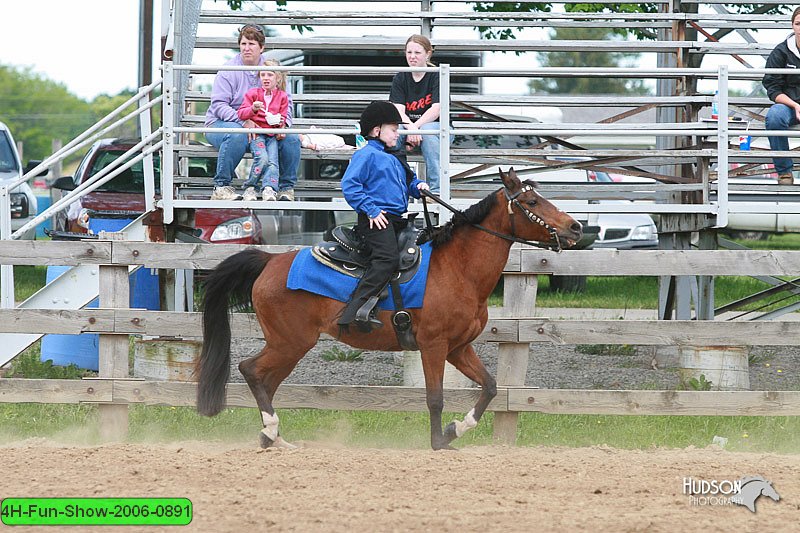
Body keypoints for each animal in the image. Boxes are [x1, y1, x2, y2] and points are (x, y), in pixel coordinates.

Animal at [196, 167, 580, 448]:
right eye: (532, 200)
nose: (575, 227)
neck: (458, 268)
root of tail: (270, 262)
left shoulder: (458, 348)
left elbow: (490, 387)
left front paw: (455, 429)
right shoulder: (433, 345)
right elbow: (435, 397)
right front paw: (439, 441)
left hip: (289, 347)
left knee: (266, 380)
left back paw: (272, 437)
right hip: (289, 342)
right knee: (250, 370)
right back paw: (271, 431)